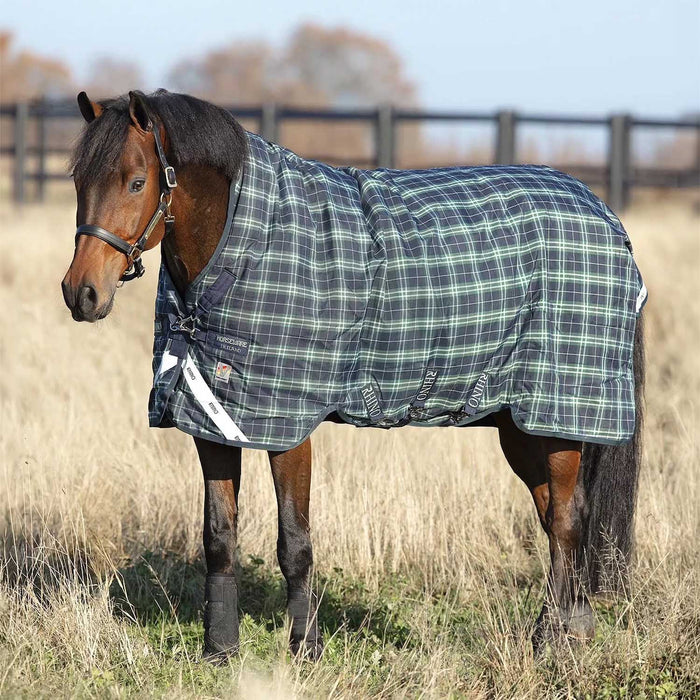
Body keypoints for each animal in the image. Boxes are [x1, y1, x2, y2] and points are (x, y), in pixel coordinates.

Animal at [61, 89, 645, 661]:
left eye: (137, 182)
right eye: (78, 180)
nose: (81, 293)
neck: (243, 246)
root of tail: (607, 217)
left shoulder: (287, 428)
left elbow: (294, 541)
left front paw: (305, 646)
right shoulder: (215, 419)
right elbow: (219, 537)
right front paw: (219, 649)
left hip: (556, 414)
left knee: (567, 522)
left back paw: (550, 645)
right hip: (519, 425)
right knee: (557, 517)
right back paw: (572, 628)